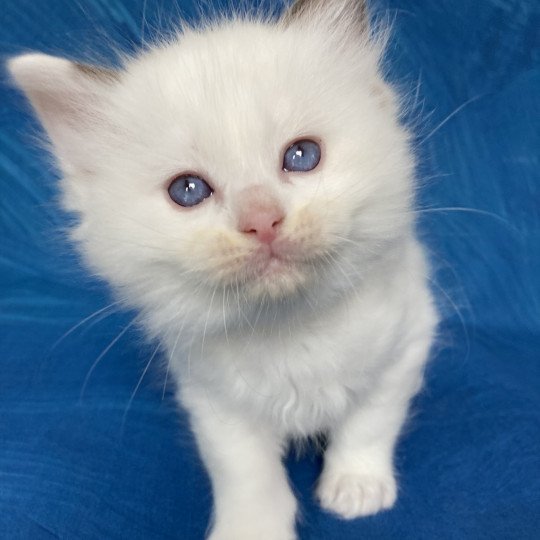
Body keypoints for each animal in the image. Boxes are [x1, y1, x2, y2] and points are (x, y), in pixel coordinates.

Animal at [8, 1, 438, 540]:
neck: (289, 330)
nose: (261, 220)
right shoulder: (211, 398)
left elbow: (369, 421)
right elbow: (246, 472)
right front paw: (253, 529)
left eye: (302, 156)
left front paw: (355, 486)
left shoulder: (407, 341)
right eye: (188, 190)